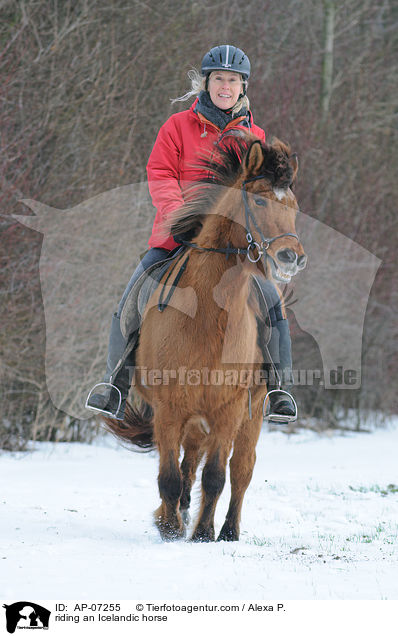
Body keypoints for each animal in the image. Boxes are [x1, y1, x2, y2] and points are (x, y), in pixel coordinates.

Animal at [104, 134, 306, 540]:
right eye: (259, 201)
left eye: (292, 206)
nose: (292, 257)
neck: (210, 315)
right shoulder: (169, 407)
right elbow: (169, 475)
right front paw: (169, 526)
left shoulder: (230, 409)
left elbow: (216, 476)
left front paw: (203, 533)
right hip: (192, 414)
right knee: (188, 460)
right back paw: (180, 512)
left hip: (250, 413)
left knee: (241, 470)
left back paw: (228, 530)